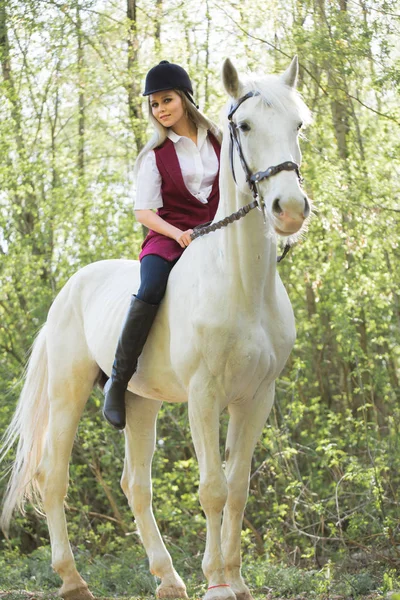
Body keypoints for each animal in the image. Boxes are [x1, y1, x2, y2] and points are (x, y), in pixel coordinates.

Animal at [0, 59, 312, 600]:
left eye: (297, 126)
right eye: (245, 126)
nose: (289, 210)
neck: (241, 285)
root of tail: (70, 287)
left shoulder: (257, 397)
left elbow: (238, 487)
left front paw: (236, 580)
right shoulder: (204, 395)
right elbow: (212, 489)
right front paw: (217, 583)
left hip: (138, 400)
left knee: (135, 484)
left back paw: (168, 578)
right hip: (67, 391)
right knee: (53, 475)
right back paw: (73, 579)